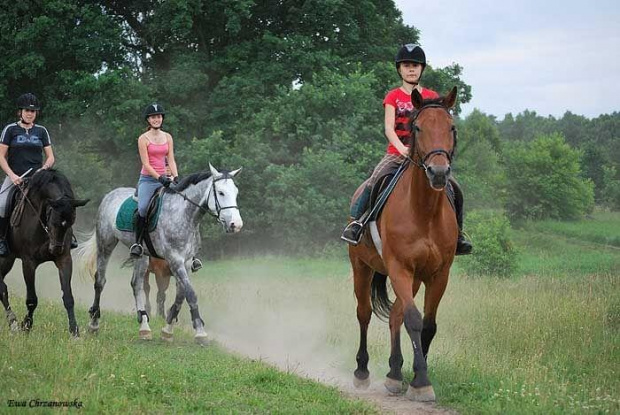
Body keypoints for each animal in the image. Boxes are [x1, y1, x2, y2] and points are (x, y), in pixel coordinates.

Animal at [0, 171, 88, 336]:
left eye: (71, 221)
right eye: (53, 220)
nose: (56, 249)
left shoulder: (64, 259)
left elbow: (68, 297)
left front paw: (74, 331)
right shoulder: (28, 262)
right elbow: (31, 299)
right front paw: (26, 326)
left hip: (8, 259)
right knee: (2, 288)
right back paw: (13, 322)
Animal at [75, 165, 242, 344]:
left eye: (236, 192)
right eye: (221, 193)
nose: (236, 225)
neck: (184, 215)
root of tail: (110, 195)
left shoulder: (186, 262)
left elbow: (181, 295)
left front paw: (167, 329)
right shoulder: (175, 260)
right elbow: (190, 294)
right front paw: (200, 332)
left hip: (142, 255)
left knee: (136, 284)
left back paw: (144, 327)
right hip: (106, 243)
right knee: (100, 281)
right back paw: (94, 324)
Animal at [348, 88, 460, 404]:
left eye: (451, 128)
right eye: (417, 128)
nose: (438, 173)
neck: (424, 211)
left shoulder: (438, 274)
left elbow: (428, 324)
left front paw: (415, 376)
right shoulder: (399, 267)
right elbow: (413, 319)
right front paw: (421, 381)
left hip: (414, 279)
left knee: (394, 316)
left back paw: (394, 373)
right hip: (361, 267)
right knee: (364, 313)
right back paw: (362, 372)